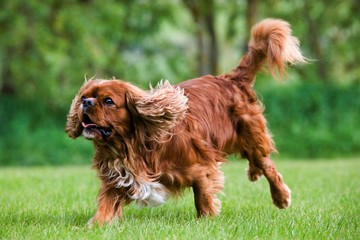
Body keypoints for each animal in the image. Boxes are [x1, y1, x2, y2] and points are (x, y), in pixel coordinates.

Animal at [65, 18, 306, 225]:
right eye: (85, 95)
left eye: (108, 101)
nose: (85, 102)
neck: (130, 147)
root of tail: (230, 79)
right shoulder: (117, 180)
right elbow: (105, 206)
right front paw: (94, 226)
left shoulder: (201, 167)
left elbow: (202, 196)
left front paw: (206, 220)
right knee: (259, 163)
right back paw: (254, 173)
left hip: (252, 138)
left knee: (268, 165)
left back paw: (281, 197)